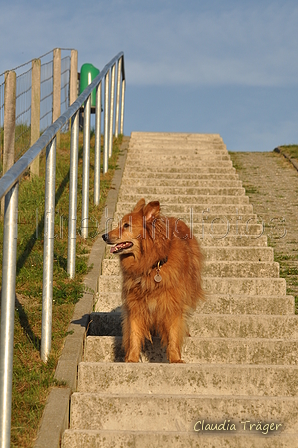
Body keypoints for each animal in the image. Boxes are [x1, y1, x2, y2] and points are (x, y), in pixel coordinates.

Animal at [101, 200, 204, 364]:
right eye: (119, 224)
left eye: (126, 225)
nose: (104, 236)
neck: (152, 265)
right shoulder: (135, 304)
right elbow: (134, 334)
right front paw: (131, 359)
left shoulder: (172, 304)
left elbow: (174, 333)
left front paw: (175, 359)